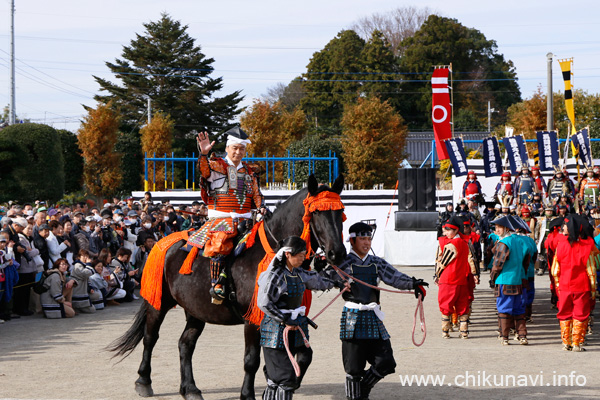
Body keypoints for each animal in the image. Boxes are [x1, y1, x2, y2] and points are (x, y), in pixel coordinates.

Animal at [108, 175, 346, 400]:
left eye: (341, 212)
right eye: (317, 213)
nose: (337, 253)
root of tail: (163, 242)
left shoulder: (291, 317)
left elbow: (304, 356)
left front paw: (283, 382)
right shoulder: (253, 318)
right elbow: (251, 360)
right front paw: (247, 394)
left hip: (196, 309)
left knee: (185, 344)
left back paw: (190, 388)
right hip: (159, 303)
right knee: (150, 337)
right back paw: (143, 381)